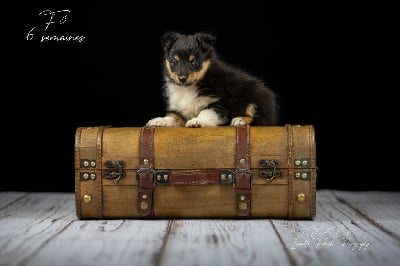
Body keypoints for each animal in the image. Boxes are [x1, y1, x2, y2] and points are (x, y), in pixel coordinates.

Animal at [146, 31, 278, 127]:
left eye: (194, 62)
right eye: (174, 62)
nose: (182, 78)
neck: (191, 87)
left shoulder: (221, 104)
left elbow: (206, 112)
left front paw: (196, 121)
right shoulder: (180, 109)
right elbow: (172, 116)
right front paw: (159, 121)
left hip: (256, 96)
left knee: (261, 118)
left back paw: (240, 120)